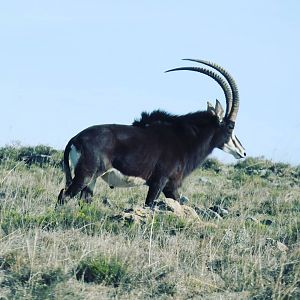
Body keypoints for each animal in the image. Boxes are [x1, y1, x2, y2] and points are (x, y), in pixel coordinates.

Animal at [56, 59, 246, 207]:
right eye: (231, 126)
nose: (243, 152)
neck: (184, 138)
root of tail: (75, 139)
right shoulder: (160, 182)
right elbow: (150, 205)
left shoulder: (170, 187)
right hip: (86, 175)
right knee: (64, 196)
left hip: (92, 179)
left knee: (83, 200)